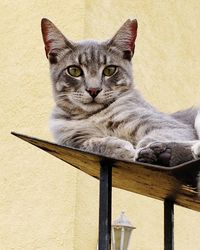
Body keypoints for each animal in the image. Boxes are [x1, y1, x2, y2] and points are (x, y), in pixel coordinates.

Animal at [40, 18, 200, 167]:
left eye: (110, 70)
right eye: (74, 70)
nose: (93, 90)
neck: (92, 115)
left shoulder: (172, 126)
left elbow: (154, 137)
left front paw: (145, 151)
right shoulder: (72, 139)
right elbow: (91, 144)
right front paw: (119, 148)